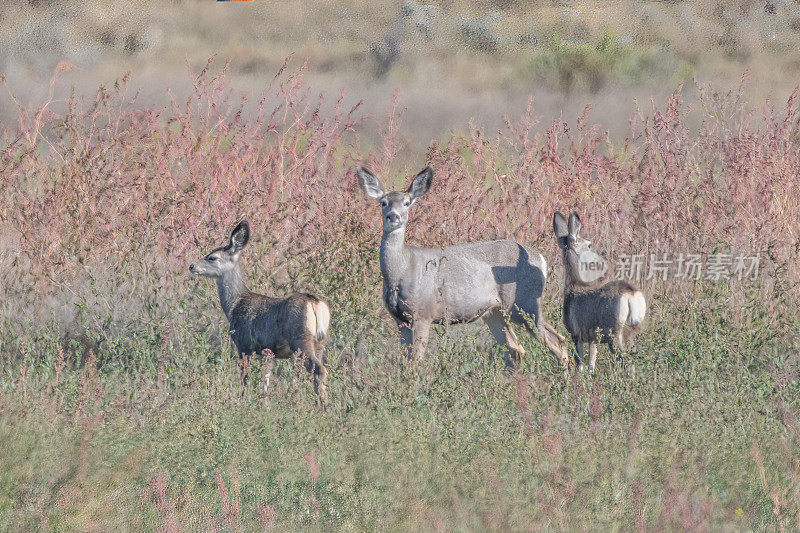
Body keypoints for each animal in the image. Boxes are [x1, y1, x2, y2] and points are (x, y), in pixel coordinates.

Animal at [189, 220, 330, 404]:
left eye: (212, 257)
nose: (192, 266)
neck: (234, 305)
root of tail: (315, 303)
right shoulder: (266, 352)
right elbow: (265, 381)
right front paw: (263, 403)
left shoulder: (243, 344)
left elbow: (245, 378)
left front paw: (243, 401)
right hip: (320, 340)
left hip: (300, 339)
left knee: (319, 370)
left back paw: (322, 406)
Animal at [356, 166, 568, 366]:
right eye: (383, 203)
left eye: (407, 203)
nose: (393, 217)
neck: (402, 271)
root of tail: (540, 258)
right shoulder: (400, 320)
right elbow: (404, 362)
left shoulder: (423, 313)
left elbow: (416, 361)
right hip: (495, 311)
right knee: (515, 349)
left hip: (524, 302)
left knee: (557, 341)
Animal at [552, 210, 648, 372]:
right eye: (589, 245)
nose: (602, 258)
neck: (575, 288)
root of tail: (631, 294)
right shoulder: (593, 337)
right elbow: (592, 361)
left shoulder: (577, 333)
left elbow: (581, 362)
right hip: (633, 328)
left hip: (613, 330)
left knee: (625, 361)